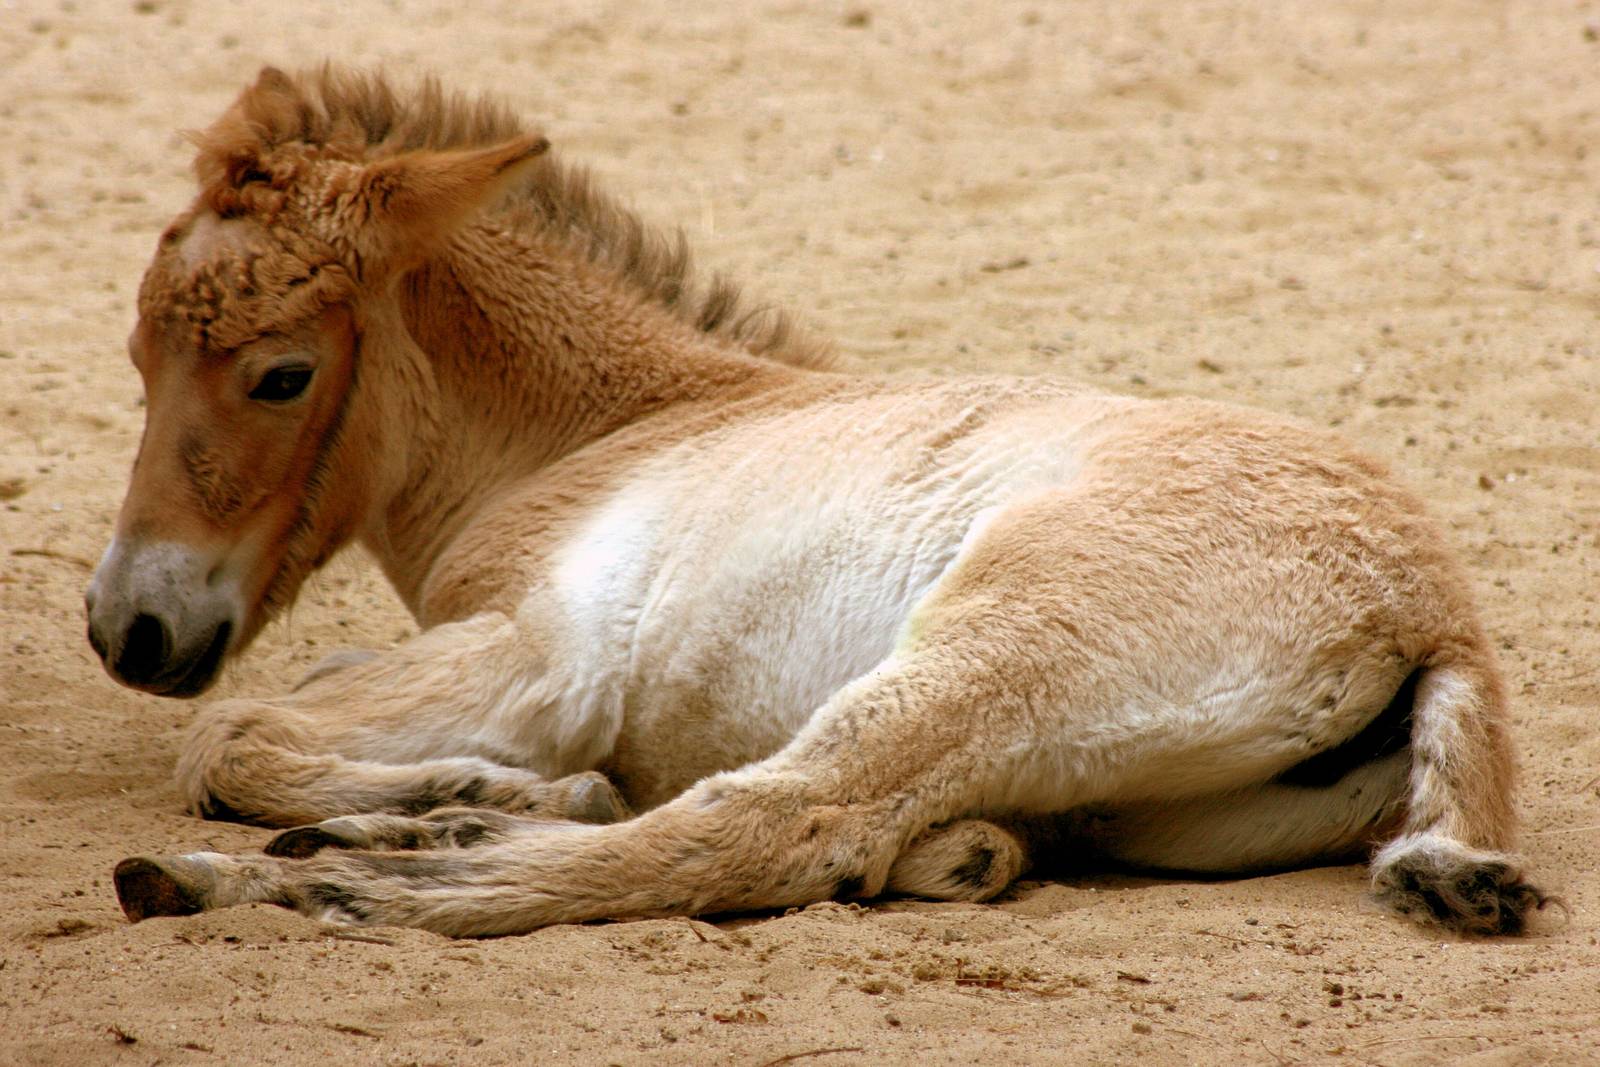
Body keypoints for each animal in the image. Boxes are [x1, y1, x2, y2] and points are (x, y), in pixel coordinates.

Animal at [86, 65, 1547, 937]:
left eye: (281, 373)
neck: (615, 424)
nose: (128, 628)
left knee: (768, 825)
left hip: (986, 659)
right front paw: (463, 786)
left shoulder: (541, 662)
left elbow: (230, 737)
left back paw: (322, 874)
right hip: (1174, 815)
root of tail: (1433, 609)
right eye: (138, 353)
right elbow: (285, 704)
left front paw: (486, 783)